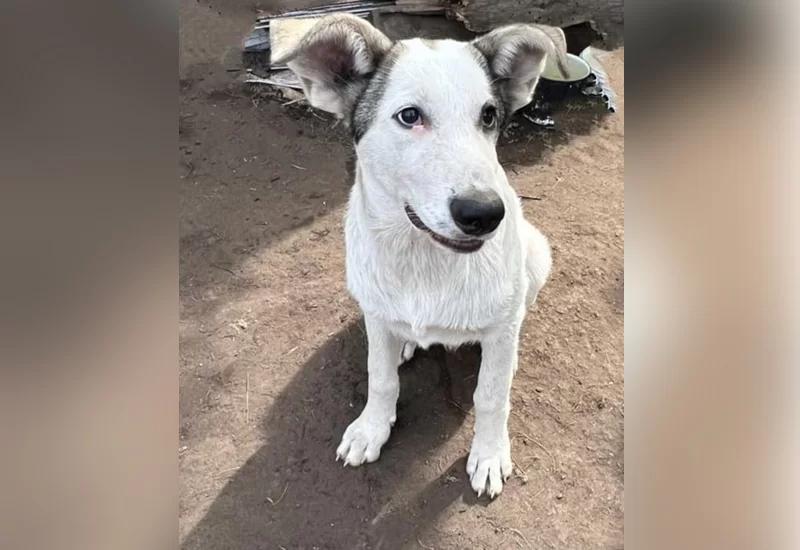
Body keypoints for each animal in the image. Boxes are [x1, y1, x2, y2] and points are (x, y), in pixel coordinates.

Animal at [278, 16, 564, 500]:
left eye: (489, 115)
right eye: (409, 116)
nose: (485, 214)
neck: (422, 259)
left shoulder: (499, 330)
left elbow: (491, 396)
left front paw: (489, 454)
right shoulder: (375, 313)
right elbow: (380, 377)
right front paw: (372, 429)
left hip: (537, 255)